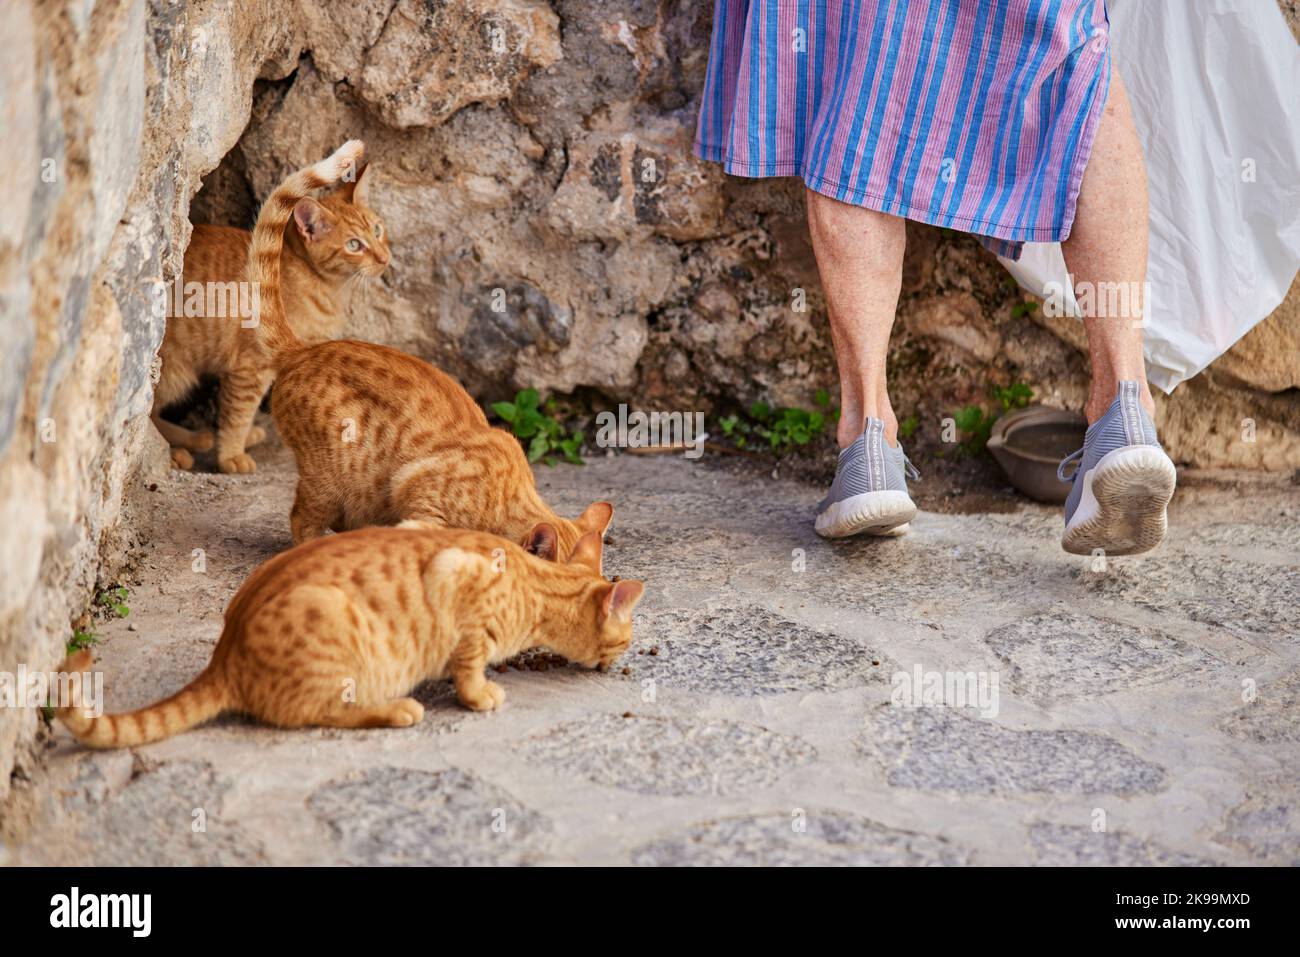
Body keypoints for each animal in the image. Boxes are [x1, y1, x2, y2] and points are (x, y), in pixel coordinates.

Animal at [58, 522, 647, 748]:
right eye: (623, 641)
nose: (618, 665)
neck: (537, 585)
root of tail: (224, 658)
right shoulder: (457, 583)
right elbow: (469, 664)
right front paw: (481, 694)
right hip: (333, 629)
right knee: (316, 712)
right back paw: (398, 708)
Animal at [152, 136, 384, 473]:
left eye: (378, 230)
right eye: (354, 244)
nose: (384, 258)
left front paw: (238, 439)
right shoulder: (251, 367)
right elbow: (239, 413)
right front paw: (231, 454)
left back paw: (197, 438)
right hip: (174, 372)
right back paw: (177, 450)